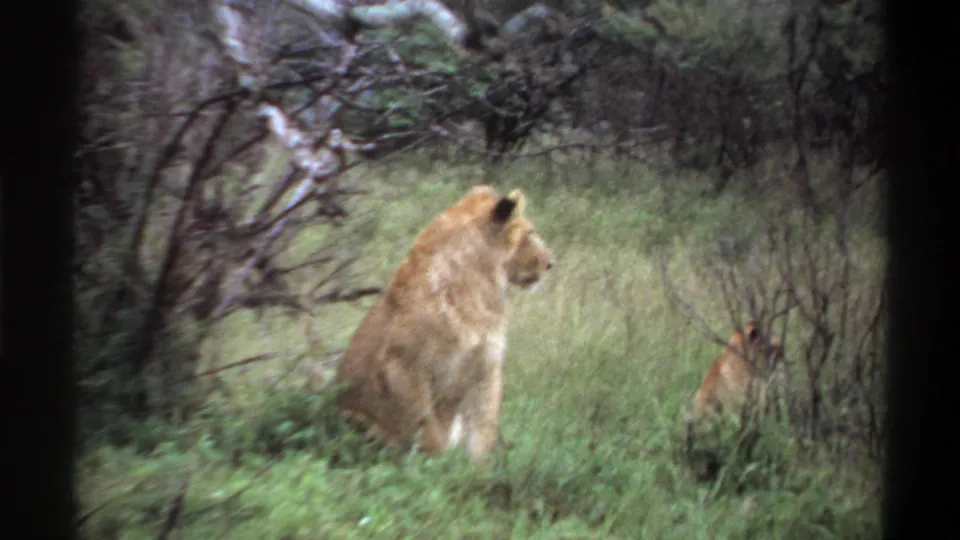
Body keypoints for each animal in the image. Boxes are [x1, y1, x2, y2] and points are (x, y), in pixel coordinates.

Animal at [333, 185, 554, 463]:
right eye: (530, 235)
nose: (550, 264)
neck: (479, 288)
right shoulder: (402, 366)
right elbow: (429, 430)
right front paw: (438, 466)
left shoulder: (486, 367)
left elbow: (483, 429)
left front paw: (475, 469)